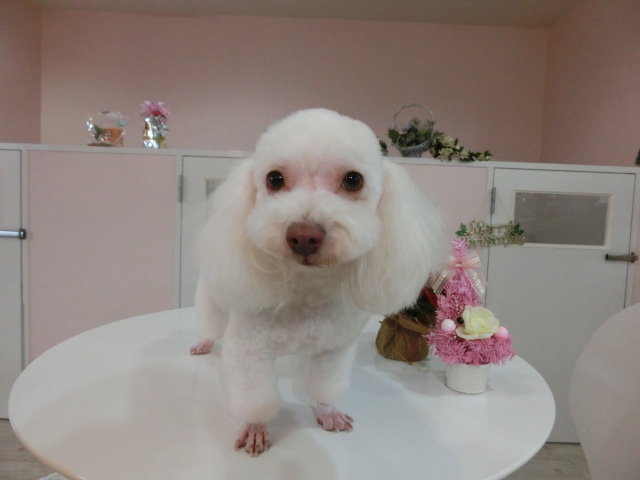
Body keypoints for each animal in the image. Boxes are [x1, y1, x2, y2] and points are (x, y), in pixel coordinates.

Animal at [191, 108, 443, 456]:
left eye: (353, 180)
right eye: (274, 179)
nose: (303, 236)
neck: (306, 290)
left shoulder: (334, 349)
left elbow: (325, 385)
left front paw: (328, 412)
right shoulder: (248, 350)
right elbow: (255, 399)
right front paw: (256, 427)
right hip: (213, 293)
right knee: (210, 321)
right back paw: (203, 341)